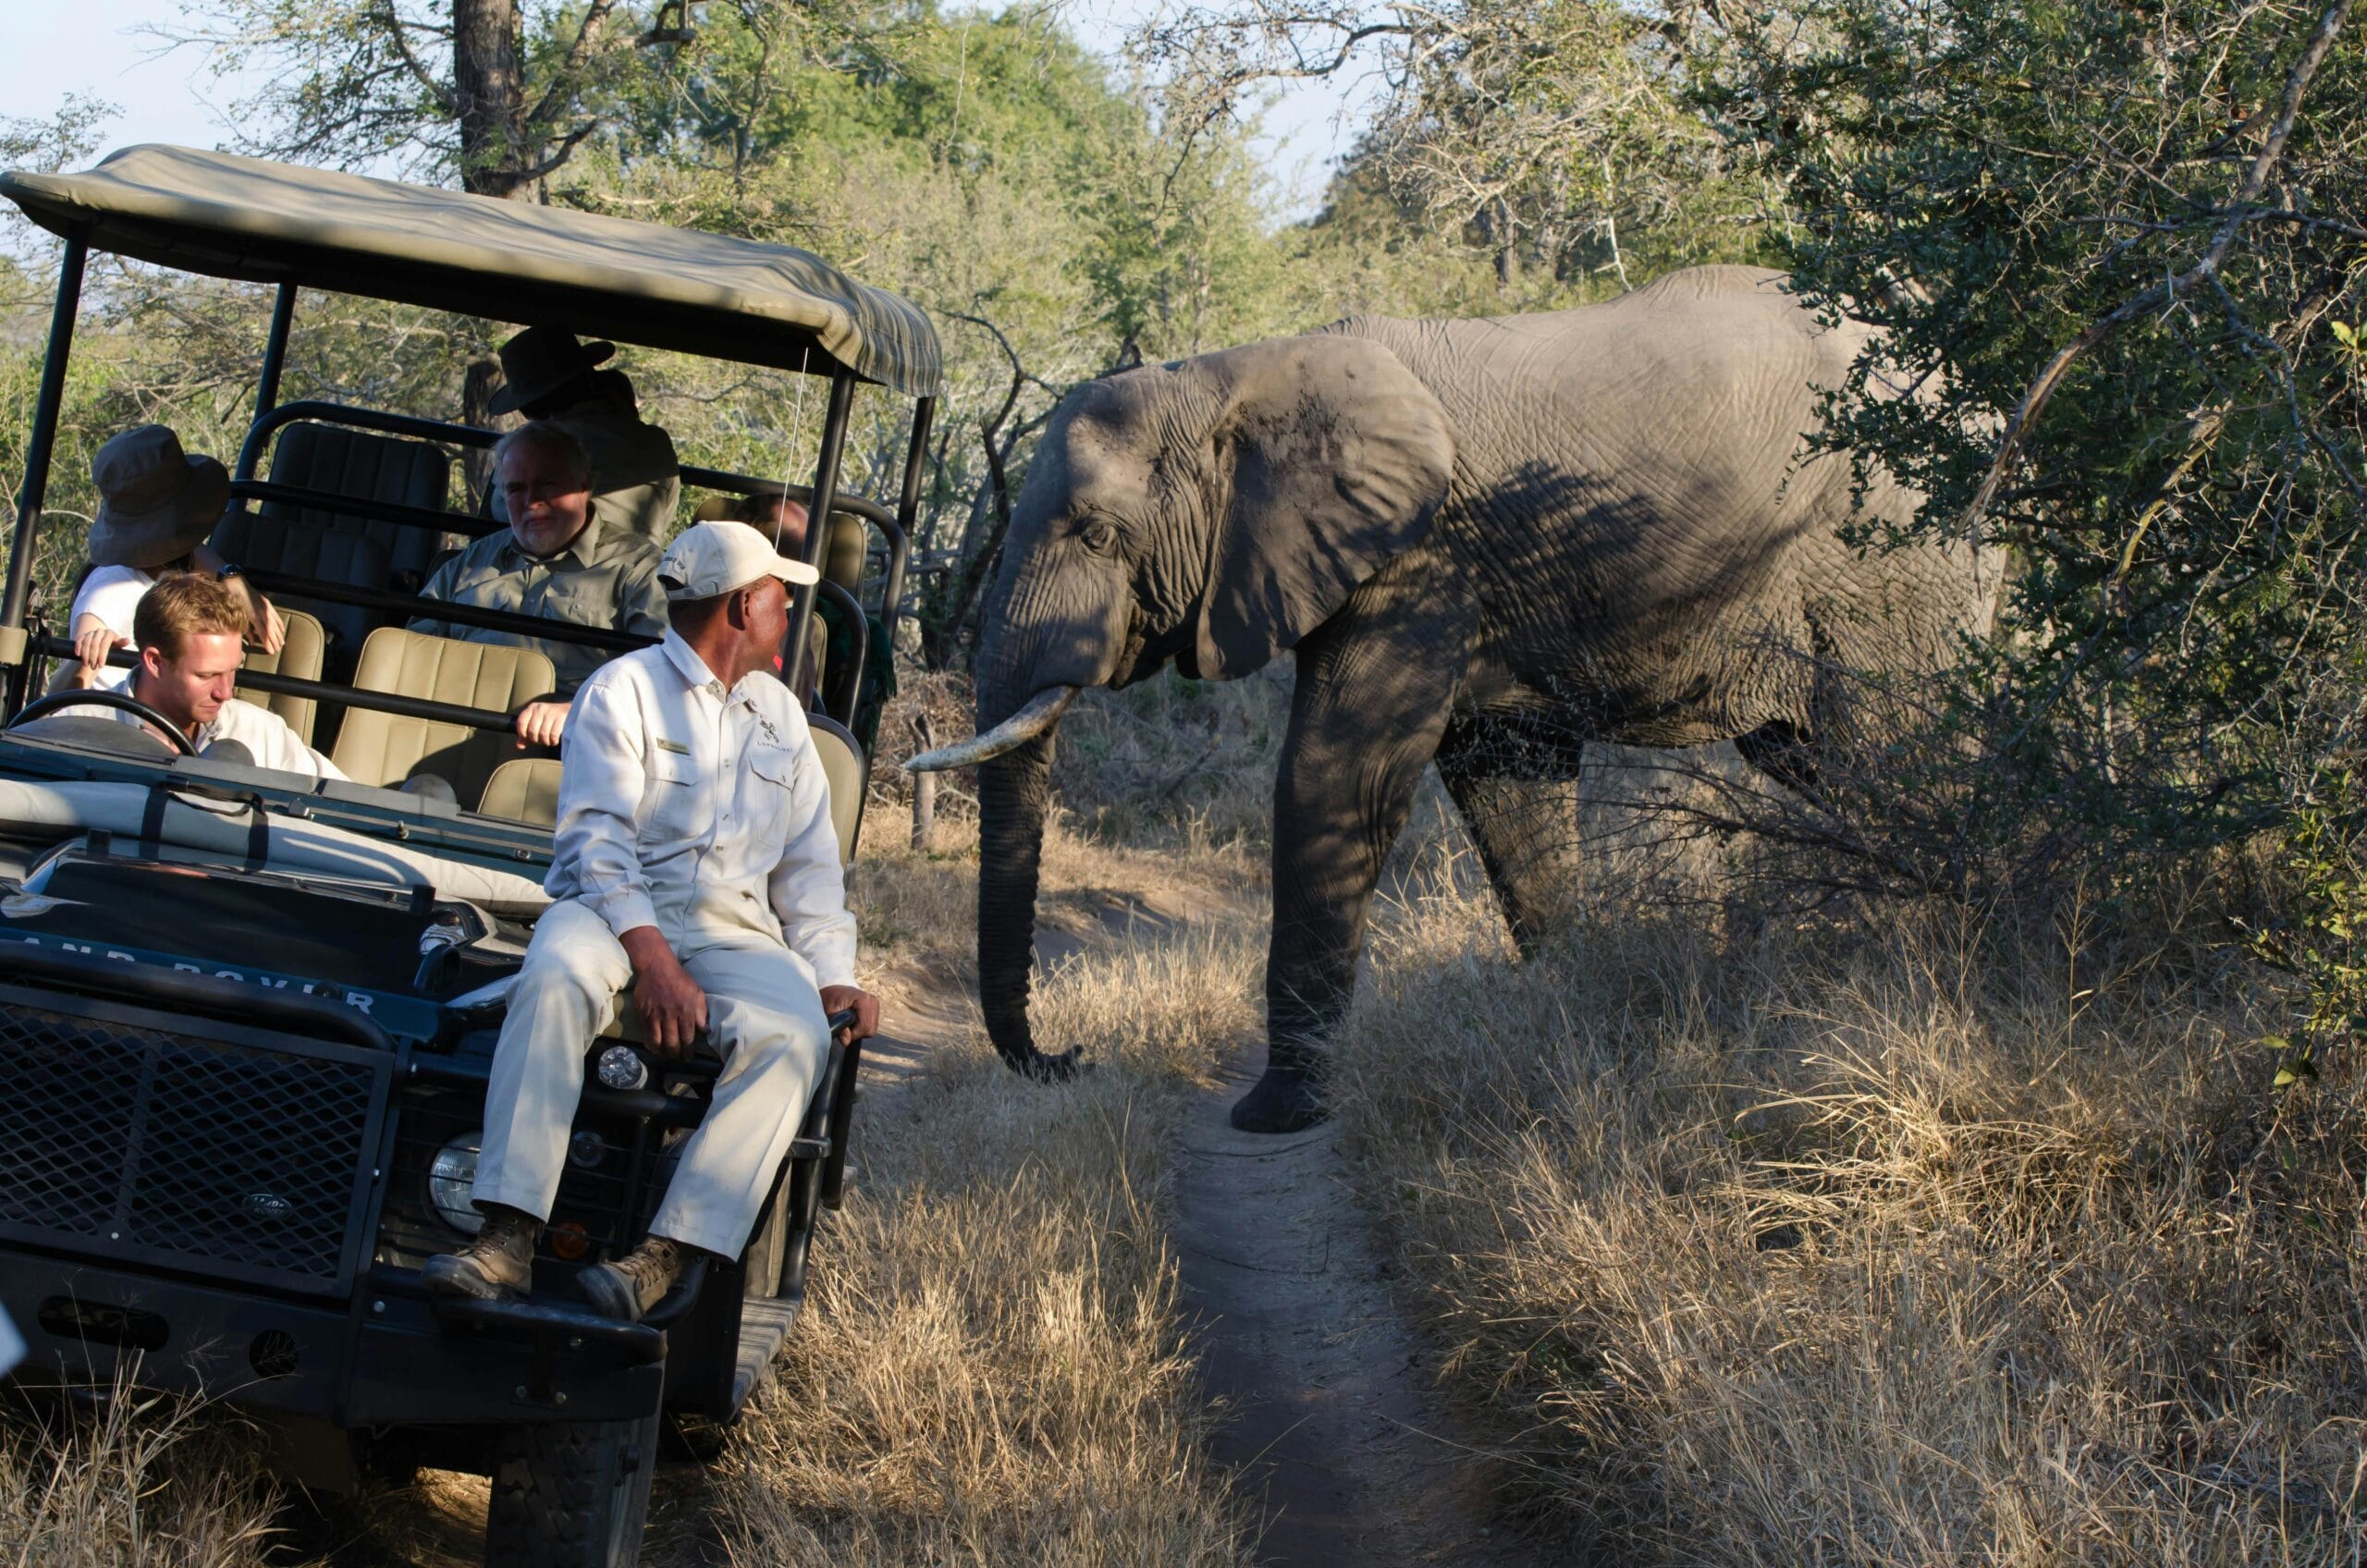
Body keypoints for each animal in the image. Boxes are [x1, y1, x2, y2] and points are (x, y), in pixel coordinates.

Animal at [903, 263, 1997, 1136]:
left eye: (1094, 532)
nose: (1069, 1056)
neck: (1231, 376)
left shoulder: (1419, 556)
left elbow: (1337, 777)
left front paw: (1275, 1114)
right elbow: (1504, 781)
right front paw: (1564, 1012)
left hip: (1889, 557)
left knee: (1899, 750)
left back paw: (1936, 958)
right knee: (1828, 758)